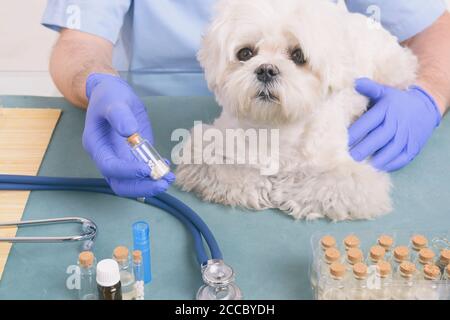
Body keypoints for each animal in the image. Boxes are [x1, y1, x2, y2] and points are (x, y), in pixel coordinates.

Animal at [174, 0, 416, 220]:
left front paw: (286, 189)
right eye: (245, 53)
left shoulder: (347, 175)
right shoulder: (212, 144)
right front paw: (257, 184)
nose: (266, 69)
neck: (276, 126)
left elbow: (324, 184)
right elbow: (225, 167)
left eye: (298, 55)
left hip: (394, 70)